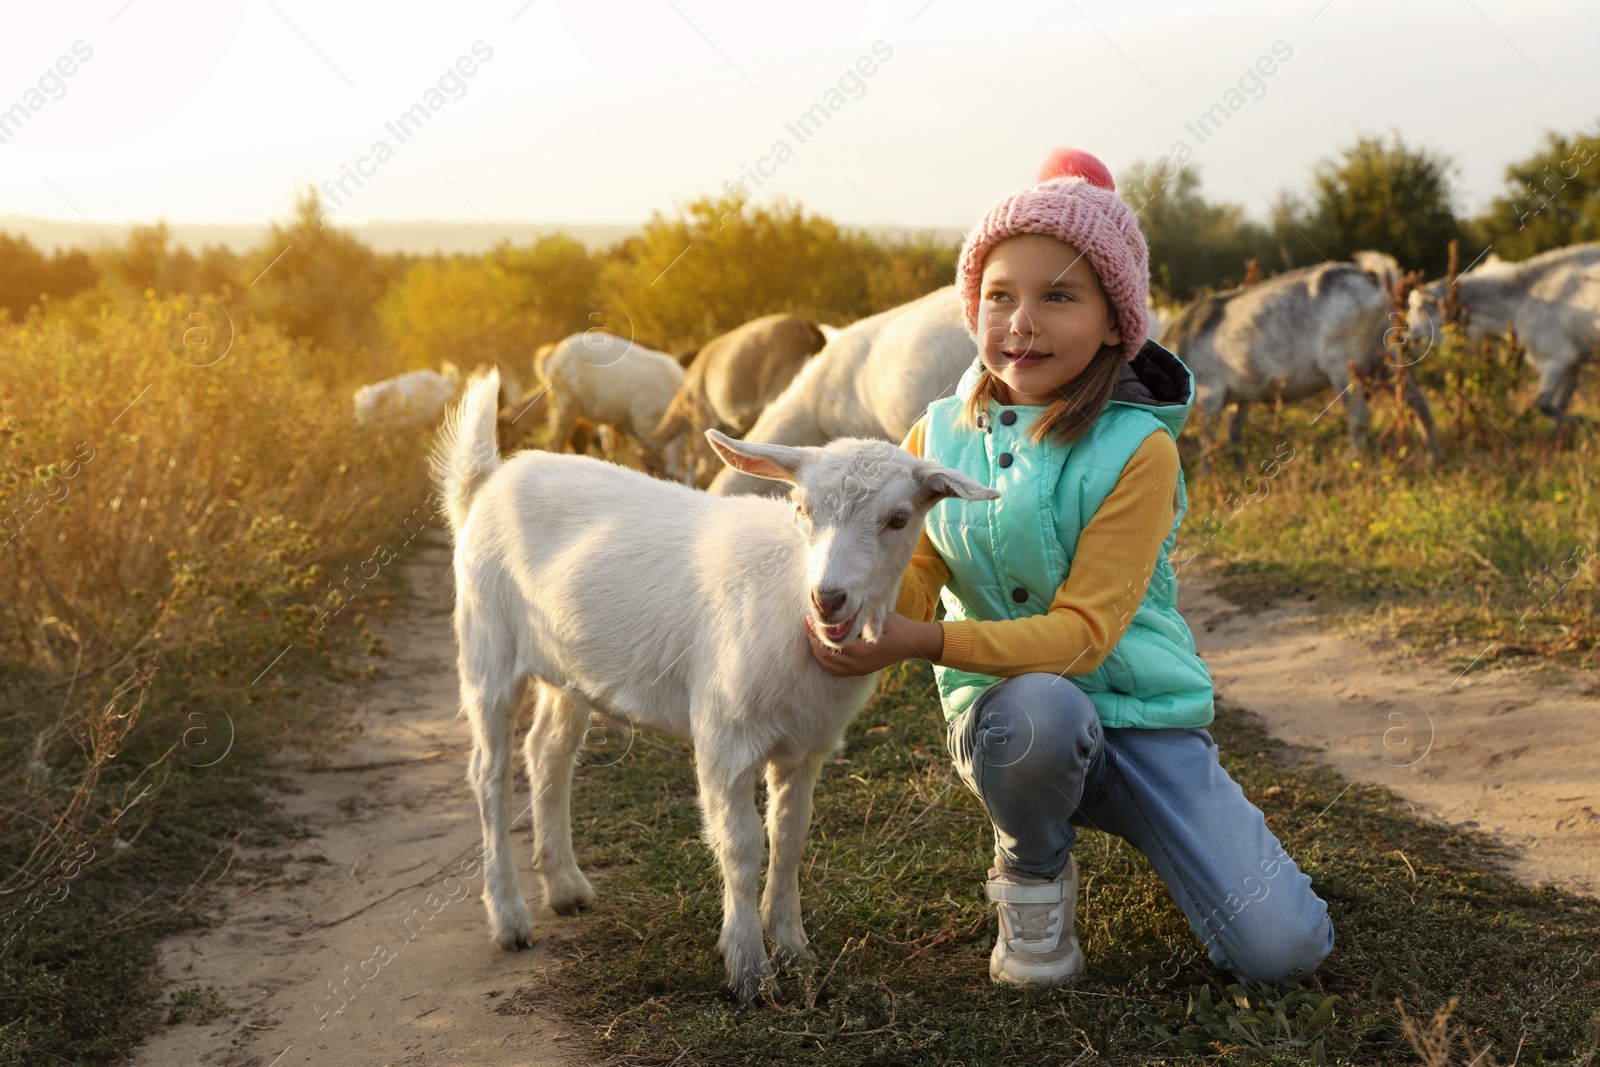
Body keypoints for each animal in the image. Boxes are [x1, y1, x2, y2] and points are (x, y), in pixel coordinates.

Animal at [432, 364, 992, 1004]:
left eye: (899, 519)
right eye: (802, 508)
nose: (828, 598)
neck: (788, 602)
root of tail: (487, 483)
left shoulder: (806, 748)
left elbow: (790, 837)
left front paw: (796, 951)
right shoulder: (725, 737)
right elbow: (742, 845)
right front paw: (748, 970)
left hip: (566, 667)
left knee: (547, 752)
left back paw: (566, 886)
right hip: (486, 644)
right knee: (490, 775)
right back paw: (509, 918)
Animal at [1158, 255, 1446, 470]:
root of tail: (1376, 282)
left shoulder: (1211, 392)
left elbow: (1208, 437)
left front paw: (1205, 476)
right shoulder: (1241, 397)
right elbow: (1234, 433)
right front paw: (1238, 469)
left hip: (1342, 361)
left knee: (1360, 414)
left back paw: (1349, 460)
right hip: (1385, 356)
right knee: (1419, 402)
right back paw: (1433, 458)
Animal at [1408, 239, 1593, 428]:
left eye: (1420, 308)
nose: (1407, 335)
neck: (1522, 300)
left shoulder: (1555, 360)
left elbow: (1544, 406)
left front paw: (1582, 420)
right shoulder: (1574, 363)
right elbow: (1557, 409)